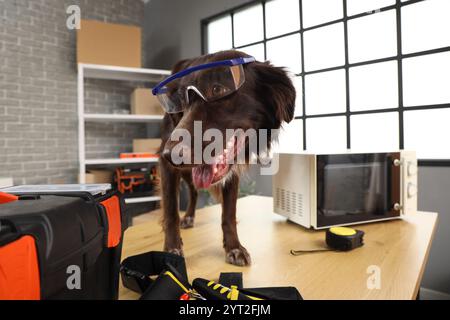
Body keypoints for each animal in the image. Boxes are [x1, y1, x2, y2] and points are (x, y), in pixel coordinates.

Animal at [158, 49, 296, 264]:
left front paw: (234, 247)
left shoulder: (231, 170)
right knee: (193, 190)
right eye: (180, 101)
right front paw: (171, 249)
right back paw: (187, 217)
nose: (170, 154)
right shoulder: (166, 165)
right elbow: (171, 210)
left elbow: (229, 212)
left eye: (218, 89)